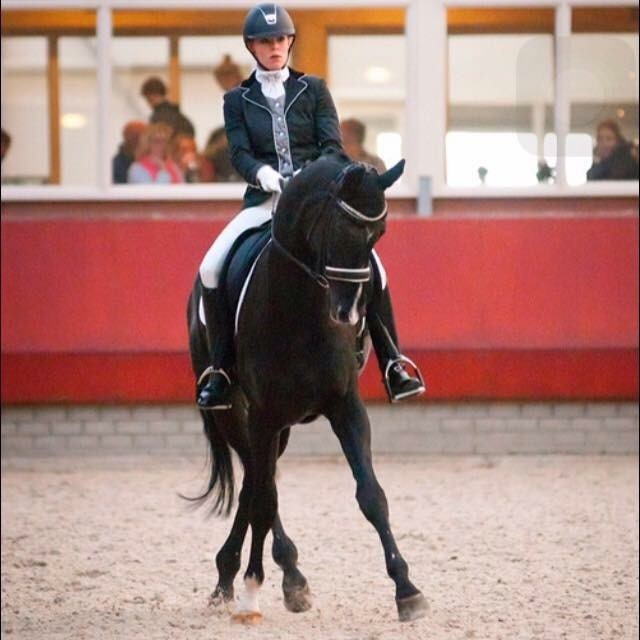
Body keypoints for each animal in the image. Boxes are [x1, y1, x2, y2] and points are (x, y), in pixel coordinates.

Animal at [186, 152, 428, 623]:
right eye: (339, 227)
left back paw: (251, 575)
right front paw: (253, 591)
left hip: (277, 428)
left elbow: (371, 495)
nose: (349, 313)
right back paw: (254, 577)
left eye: (379, 234)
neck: (300, 308)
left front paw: (407, 590)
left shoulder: (346, 407)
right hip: (235, 415)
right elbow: (265, 500)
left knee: (256, 481)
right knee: (258, 483)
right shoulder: (262, 415)